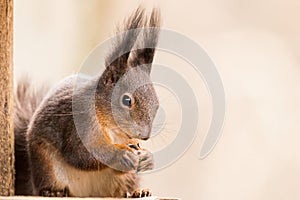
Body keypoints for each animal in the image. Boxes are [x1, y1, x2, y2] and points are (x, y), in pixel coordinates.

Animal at [14, 7, 161, 198]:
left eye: (156, 103)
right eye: (126, 100)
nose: (145, 136)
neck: (110, 125)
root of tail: (86, 193)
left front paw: (147, 157)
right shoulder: (78, 120)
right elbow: (80, 154)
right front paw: (121, 154)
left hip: (123, 182)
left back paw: (138, 192)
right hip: (47, 167)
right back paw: (54, 192)